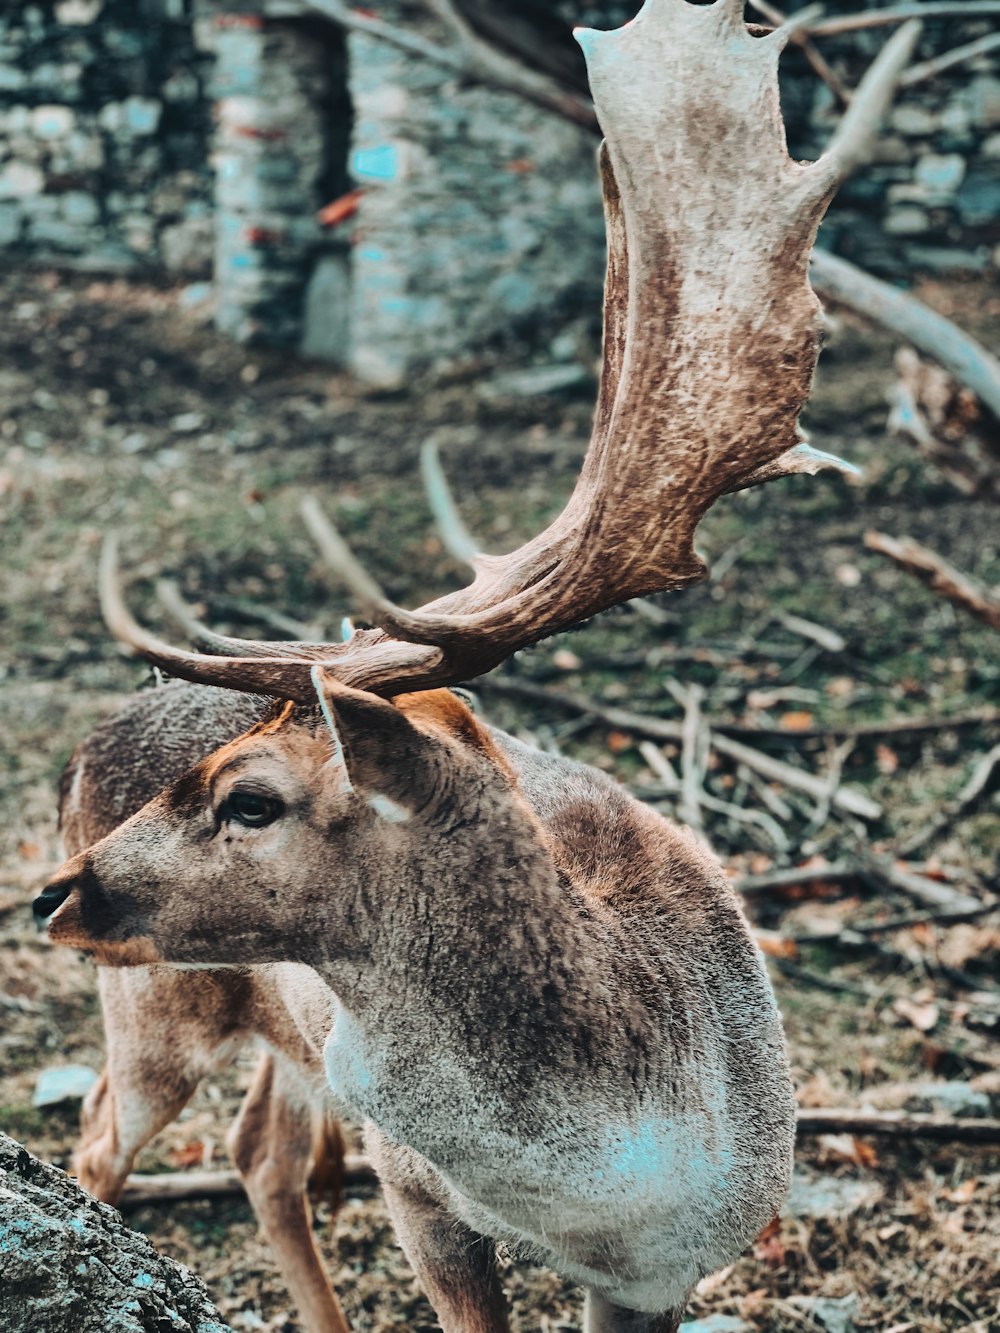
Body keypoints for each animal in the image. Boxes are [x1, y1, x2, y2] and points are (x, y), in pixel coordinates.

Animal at [35, 5, 922, 1327]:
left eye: (251, 798)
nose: (51, 891)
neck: (602, 1185)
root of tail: (85, 745)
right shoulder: (419, 1189)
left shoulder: (677, 1258)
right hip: (153, 1003)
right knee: (99, 1139)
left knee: (261, 1150)